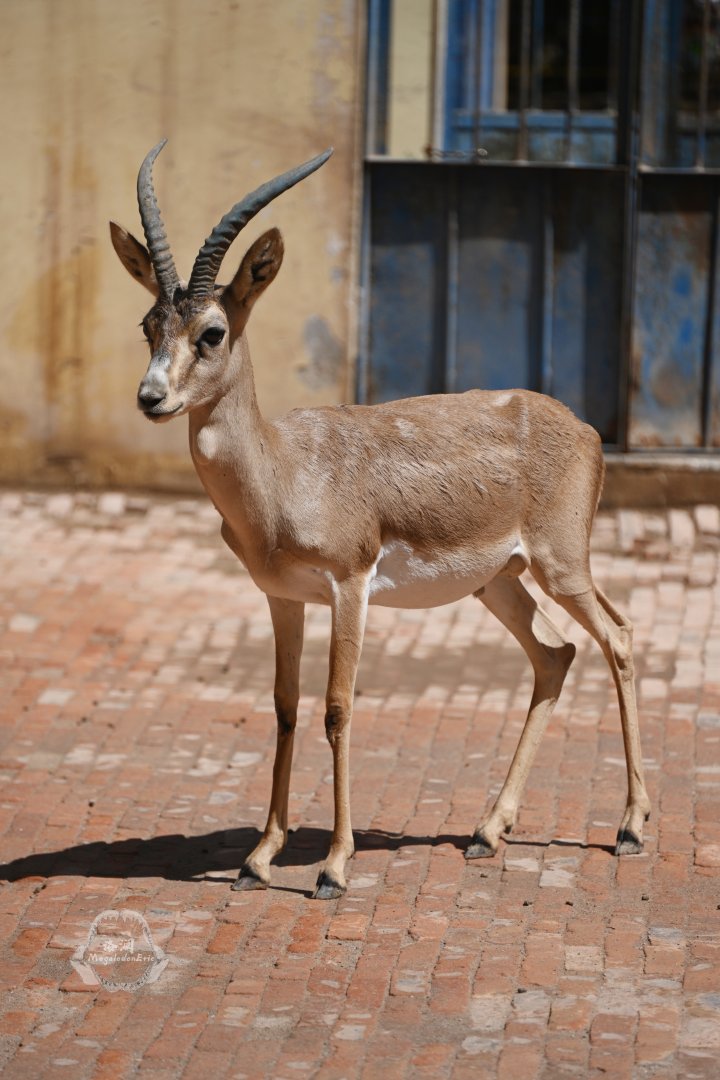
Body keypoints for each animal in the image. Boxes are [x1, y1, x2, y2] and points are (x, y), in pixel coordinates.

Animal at [110, 141, 650, 899]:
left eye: (211, 332)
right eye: (148, 326)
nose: (151, 397)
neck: (282, 470)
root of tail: (582, 428)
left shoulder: (350, 585)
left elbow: (338, 707)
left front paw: (334, 867)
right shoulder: (281, 597)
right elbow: (285, 706)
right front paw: (257, 858)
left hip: (561, 566)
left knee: (619, 638)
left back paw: (630, 827)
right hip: (500, 581)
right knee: (555, 654)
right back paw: (487, 831)